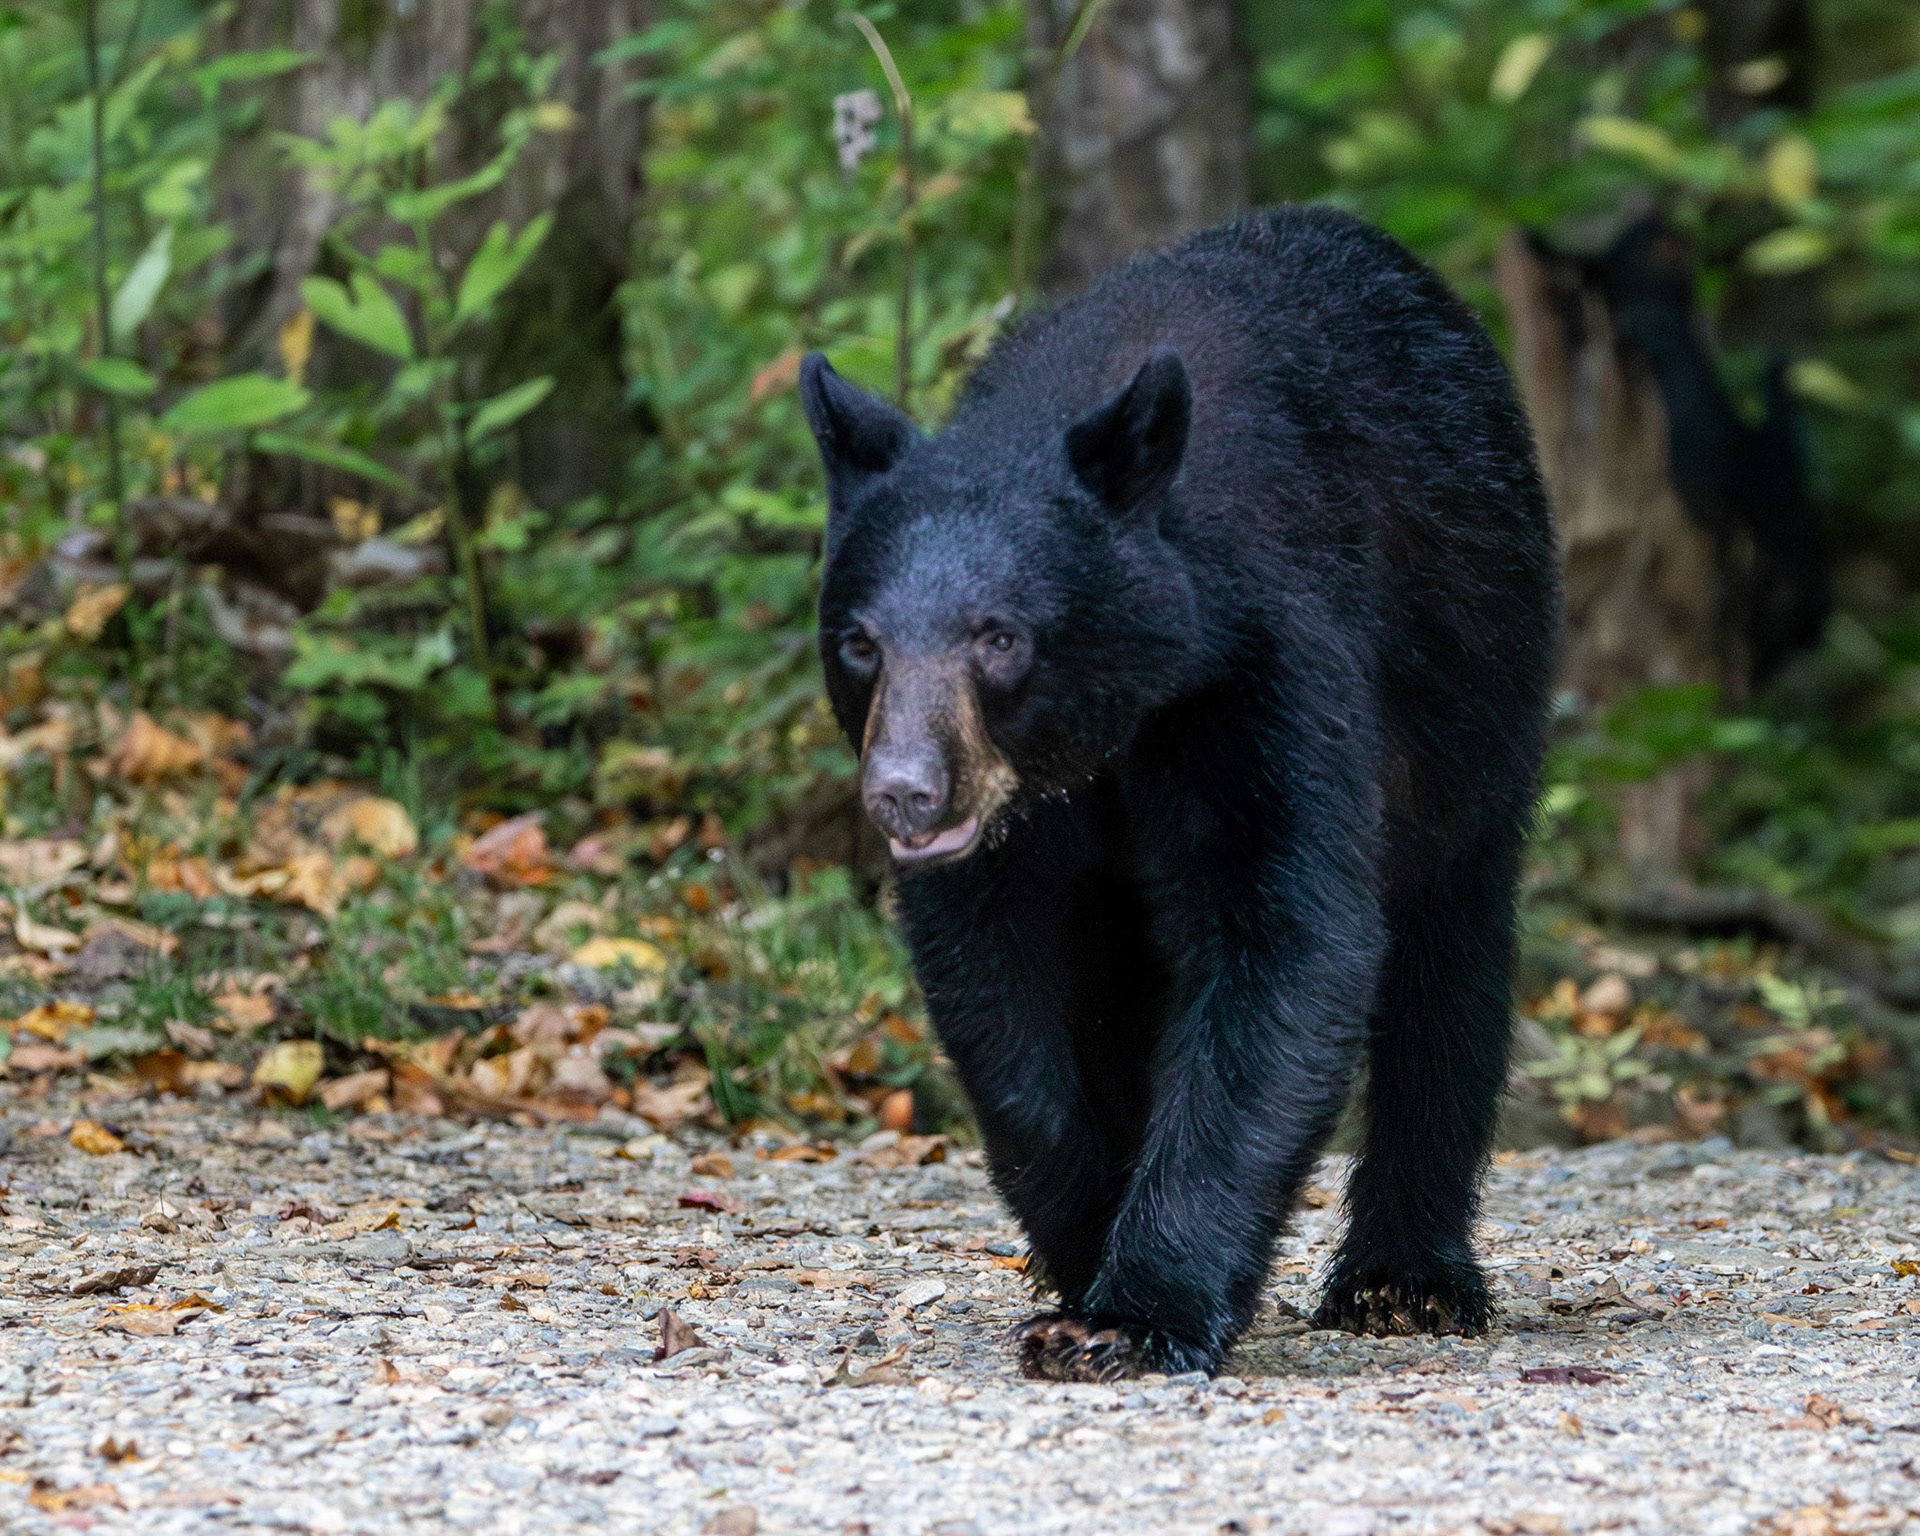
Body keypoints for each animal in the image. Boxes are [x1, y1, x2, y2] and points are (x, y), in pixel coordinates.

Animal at [799, 204, 1559, 1381]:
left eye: (1000, 637)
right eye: (860, 644)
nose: (905, 796)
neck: (1111, 736)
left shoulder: (1266, 675)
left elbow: (1287, 943)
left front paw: (1137, 1312)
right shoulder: (1020, 835)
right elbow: (1000, 992)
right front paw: (1082, 1250)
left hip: (1478, 700)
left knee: (1450, 962)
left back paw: (1406, 1278)